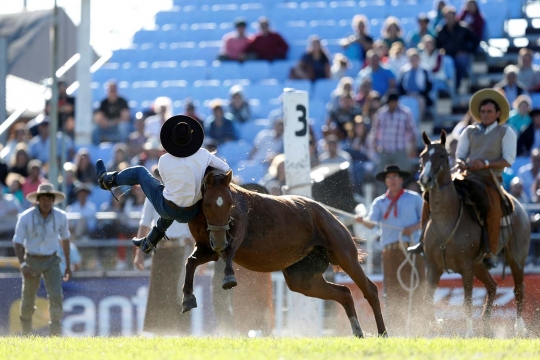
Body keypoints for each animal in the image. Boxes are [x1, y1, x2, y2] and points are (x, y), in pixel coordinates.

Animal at [184, 169, 386, 338]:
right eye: (207, 204)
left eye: (229, 203)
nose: (219, 240)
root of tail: (328, 214)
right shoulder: (208, 248)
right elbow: (191, 262)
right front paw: (187, 298)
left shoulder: (235, 234)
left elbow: (229, 251)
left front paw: (228, 277)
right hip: (303, 278)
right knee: (343, 293)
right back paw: (358, 331)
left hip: (344, 255)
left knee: (370, 290)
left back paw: (382, 332)